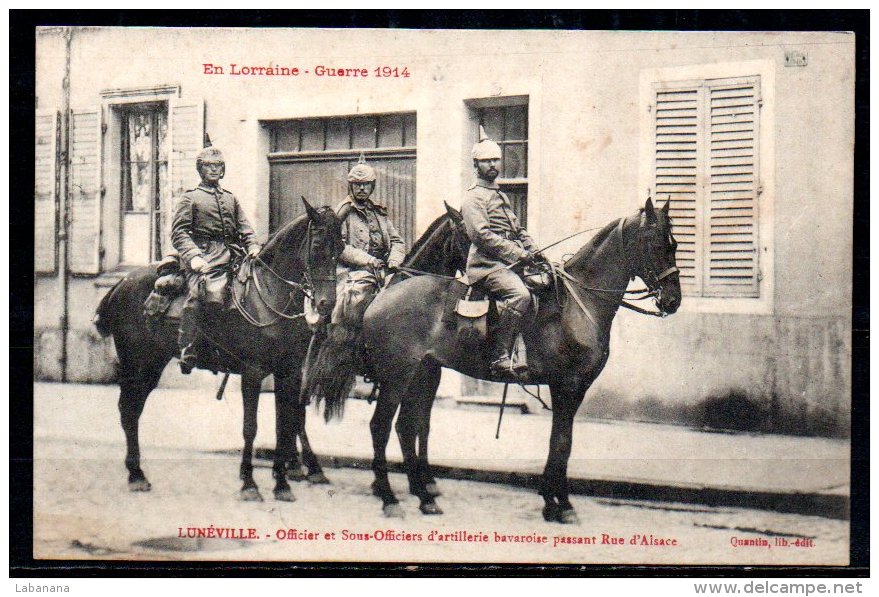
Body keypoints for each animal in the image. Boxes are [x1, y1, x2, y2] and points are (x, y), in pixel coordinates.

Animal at [94, 200, 344, 502]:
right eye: (317, 245)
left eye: (341, 246)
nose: (327, 303)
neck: (268, 294)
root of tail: (121, 282)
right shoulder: (253, 373)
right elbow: (251, 427)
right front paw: (249, 484)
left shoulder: (289, 374)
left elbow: (285, 425)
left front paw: (282, 485)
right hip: (136, 364)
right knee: (128, 410)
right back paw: (136, 475)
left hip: (152, 366)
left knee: (133, 409)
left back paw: (137, 474)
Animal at [322, 197, 680, 520]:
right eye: (654, 243)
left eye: (673, 244)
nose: (673, 301)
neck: (582, 303)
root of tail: (382, 296)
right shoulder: (568, 385)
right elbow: (562, 443)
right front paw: (561, 505)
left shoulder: (570, 389)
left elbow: (559, 442)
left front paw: (551, 501)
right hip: (397, 378)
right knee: (380, 427)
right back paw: (388, 499)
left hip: (421, 375)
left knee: (407, 427)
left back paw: (425, 498)